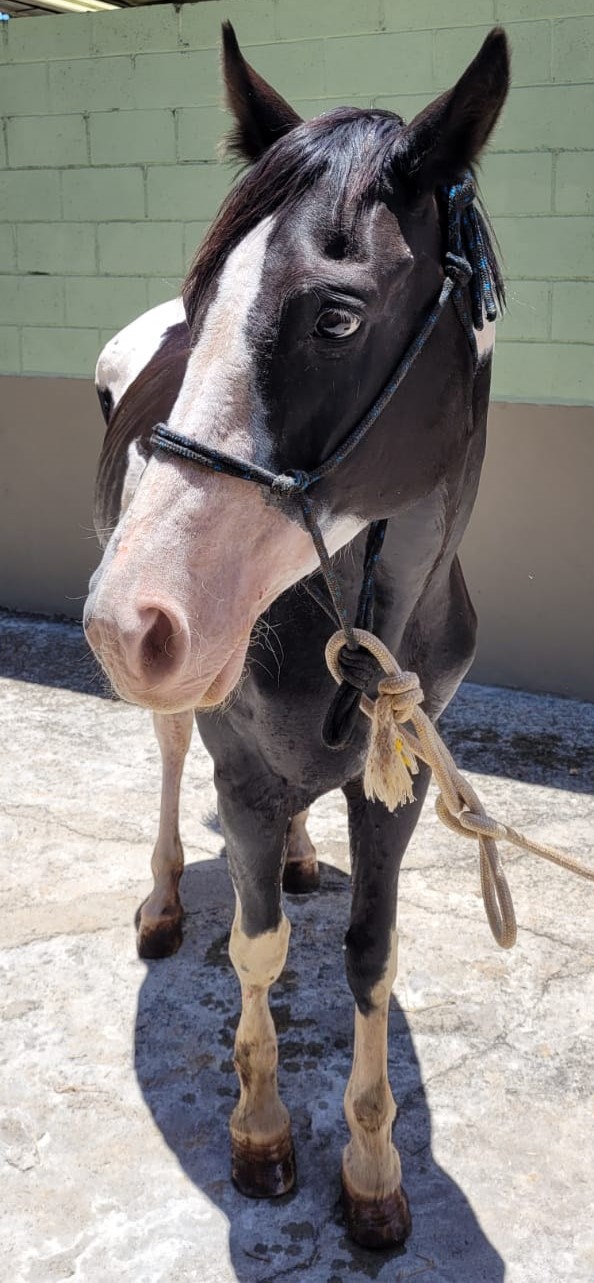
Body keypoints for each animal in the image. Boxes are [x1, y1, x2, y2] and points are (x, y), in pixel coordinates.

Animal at [83, 25, 510, 1247]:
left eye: (336, 317)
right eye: (204, 299)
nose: (123, 619)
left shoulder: (400, 770)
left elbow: (371, 956)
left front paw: (371, 1167)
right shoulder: (238, 757)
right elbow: (257, 948)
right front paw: (263, 1128)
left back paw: (305, 850)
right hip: (187, 707)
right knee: (171, 765)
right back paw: (167, 896)